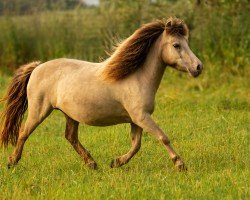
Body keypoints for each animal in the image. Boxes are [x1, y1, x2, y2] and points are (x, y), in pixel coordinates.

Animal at [0, 16, 203, 170]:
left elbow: (136, 144)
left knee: (71, 137)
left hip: (70, 114)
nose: (198, 67)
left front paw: (116, 162)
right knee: (23, 133)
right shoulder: (141, 117)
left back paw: (92, 164)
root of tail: (37, 67)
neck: (137, 77)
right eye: (176, 45)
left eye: (186, 42)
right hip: (39, 110)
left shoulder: (136, 119)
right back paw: (12, 162)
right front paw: (180, 164)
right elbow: (163, 137)